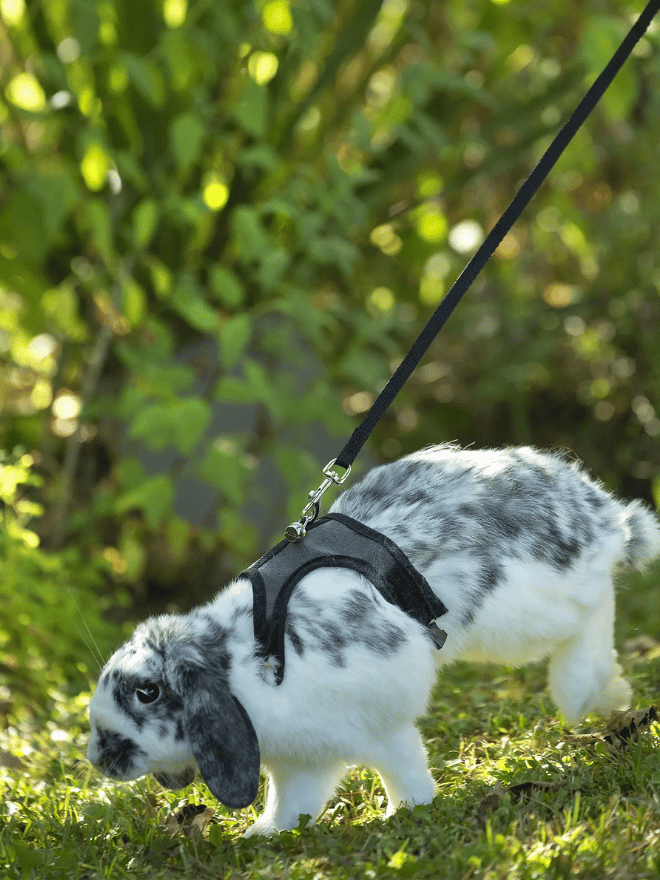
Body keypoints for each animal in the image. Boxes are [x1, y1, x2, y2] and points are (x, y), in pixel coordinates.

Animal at [87, 444, 660, 836]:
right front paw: (263, 836)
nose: (97, 759)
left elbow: (403, 768)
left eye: (147, 693)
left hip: (528, 613)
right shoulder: (303, 758)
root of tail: (598, 510)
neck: (244, 661)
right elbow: (291, 803)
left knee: (597, 606)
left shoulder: (381, 724)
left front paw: (407, 812)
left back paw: (589, 690)